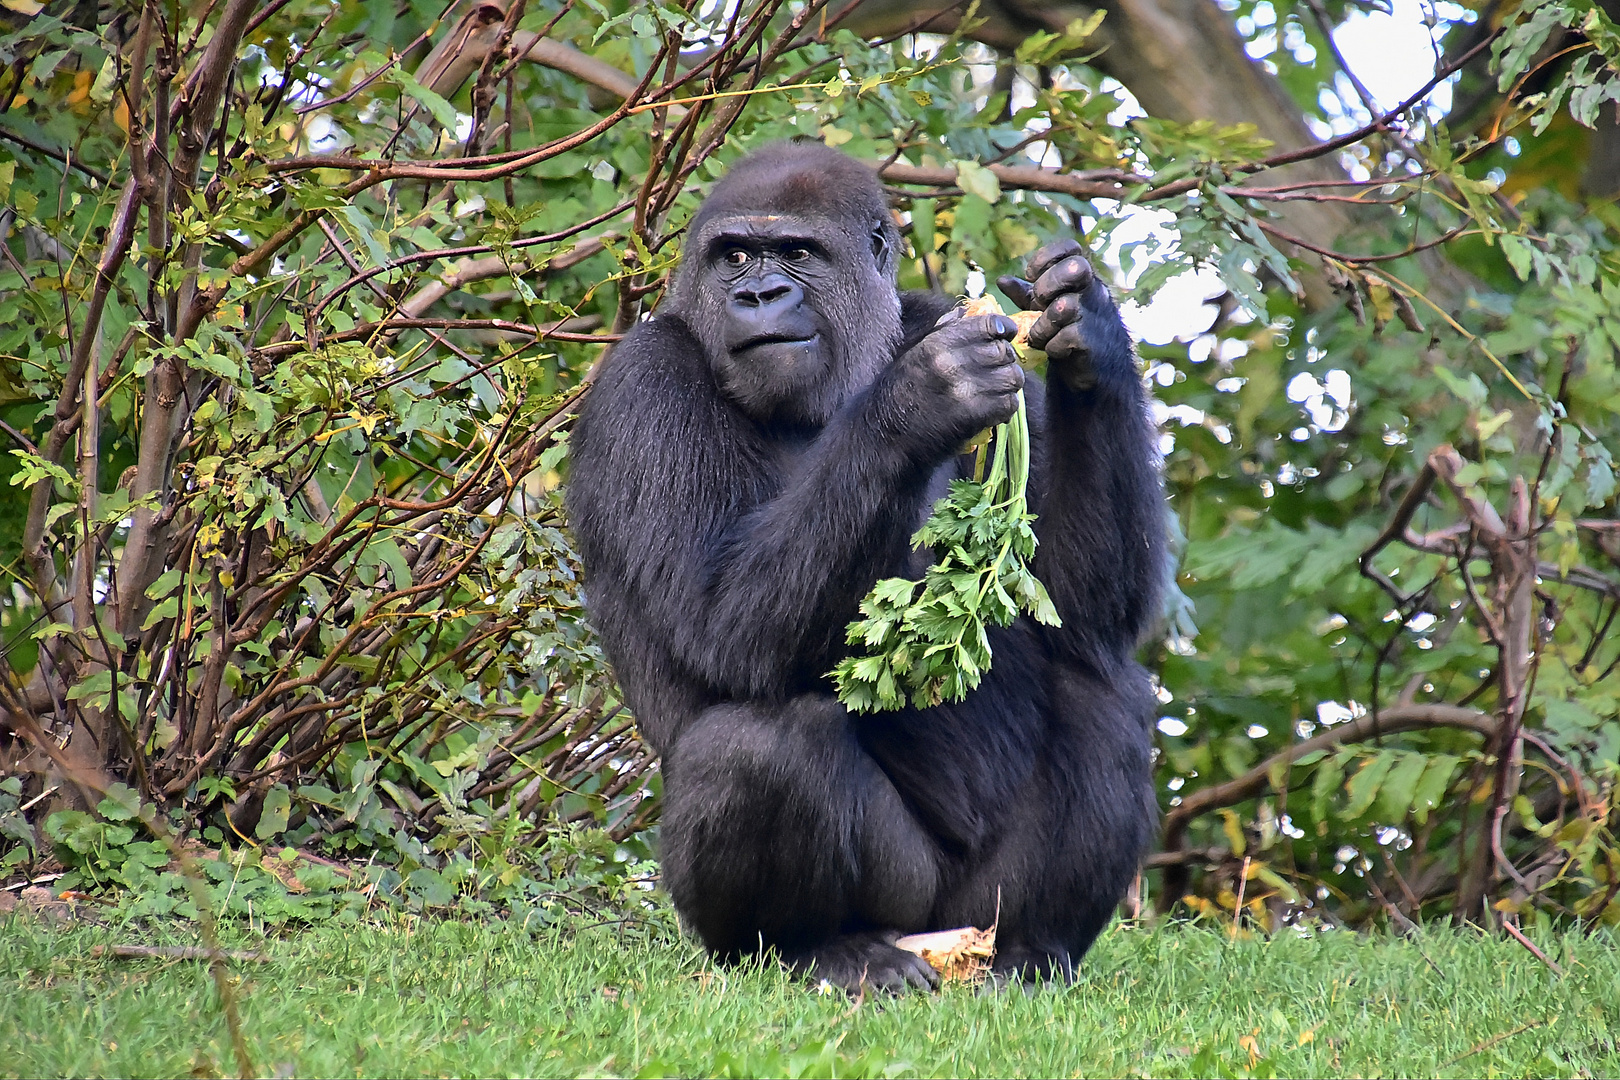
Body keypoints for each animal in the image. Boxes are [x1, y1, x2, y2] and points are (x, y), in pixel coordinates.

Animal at [570, 143, 1166, 997]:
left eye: (797, 254)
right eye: (735, 256)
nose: (757, 295)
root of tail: (943, 939)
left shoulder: (944, 317)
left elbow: (1081, 610)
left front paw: (1090, 329)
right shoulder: (640, 385)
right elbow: (720, 627)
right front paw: (921, 399)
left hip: (974, 908)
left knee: (1104, 684)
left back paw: (1031, 949)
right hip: (883, 908)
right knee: (756, 744)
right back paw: (819, 949)